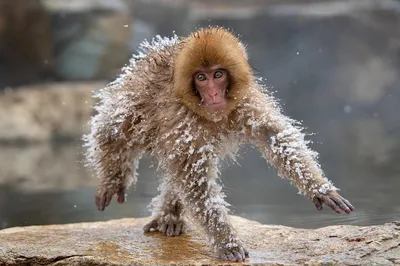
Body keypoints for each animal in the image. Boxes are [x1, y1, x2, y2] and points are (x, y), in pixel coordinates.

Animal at [84, 27, 354, 262]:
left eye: (218, 75)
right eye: (201, 78)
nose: (213, 94)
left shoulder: (245, 102)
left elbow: (274, 137)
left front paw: (319, 188)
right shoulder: (182, 119)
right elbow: (194, 179)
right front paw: (227, 242)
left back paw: (170, 214)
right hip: (131, 95)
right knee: (113, 130)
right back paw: (114, 177)